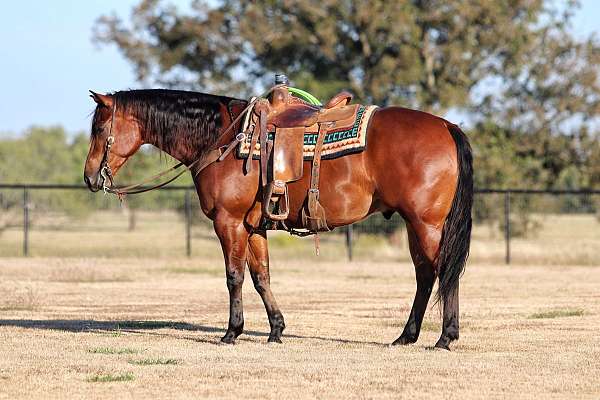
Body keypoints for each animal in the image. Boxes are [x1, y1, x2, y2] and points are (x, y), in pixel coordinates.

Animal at [83, 88, 474, 350]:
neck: (222, 138)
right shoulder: (254, 227)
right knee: (425, 275)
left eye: (99, 130)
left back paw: (445, 337)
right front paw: (276, 329)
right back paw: (406, 336)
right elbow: (261, 277)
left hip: (426, 224)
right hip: (414, 225)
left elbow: (234, 277)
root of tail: (446, 125)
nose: (89, 177)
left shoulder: (229, 222)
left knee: (444, 272)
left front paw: (232, 331)